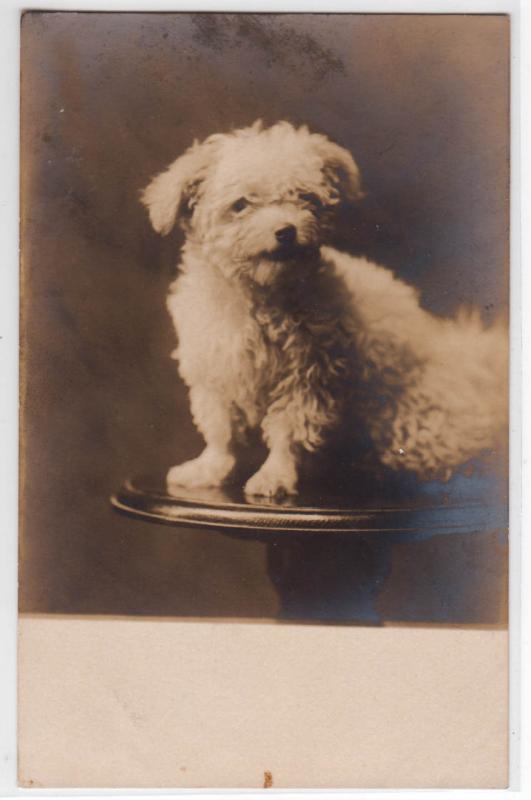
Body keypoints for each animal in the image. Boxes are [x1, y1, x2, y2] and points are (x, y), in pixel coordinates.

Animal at [141, 119, 508, 496]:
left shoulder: (309, 377)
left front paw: (274, 474)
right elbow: (220, 431)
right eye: (240, 204)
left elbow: (288, 429)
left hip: (412, 423)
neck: (258, 293)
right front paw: (209, 468)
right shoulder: (217, 373)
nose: (286, 231)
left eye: (305, 198)